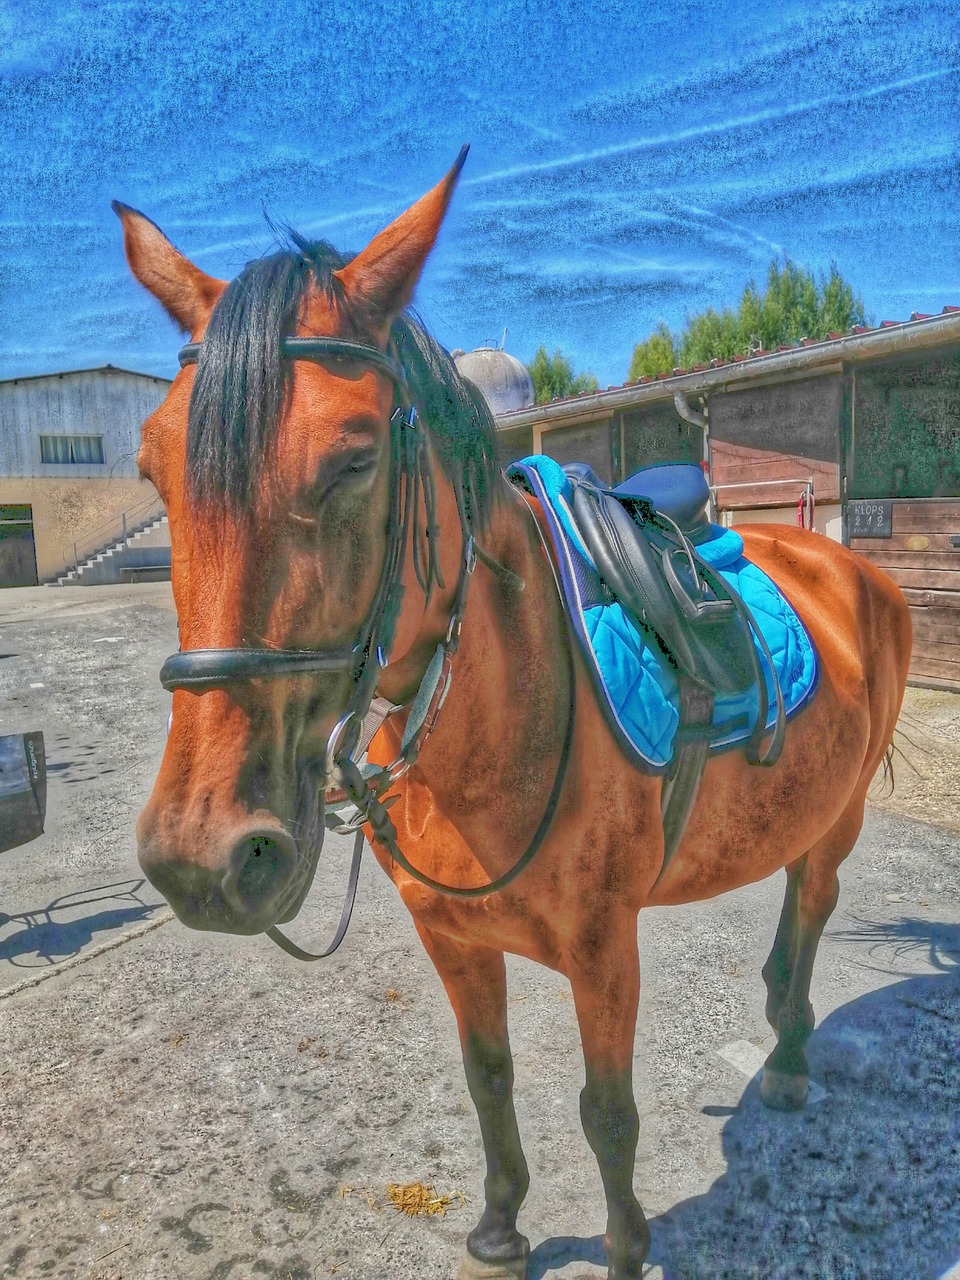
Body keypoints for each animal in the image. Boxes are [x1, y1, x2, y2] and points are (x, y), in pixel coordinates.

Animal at [116, 150, 912, 1280]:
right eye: (152, 467)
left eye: (356, 458)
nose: (202, 855)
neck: (500, 718)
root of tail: (848, 565)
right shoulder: (453, 939)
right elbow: (487, 1078)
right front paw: (499, 1226)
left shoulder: (604, 949)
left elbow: (609, 1115)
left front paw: (624, 1251)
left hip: (838, 817)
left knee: (814, 903)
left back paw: (793, 1055)